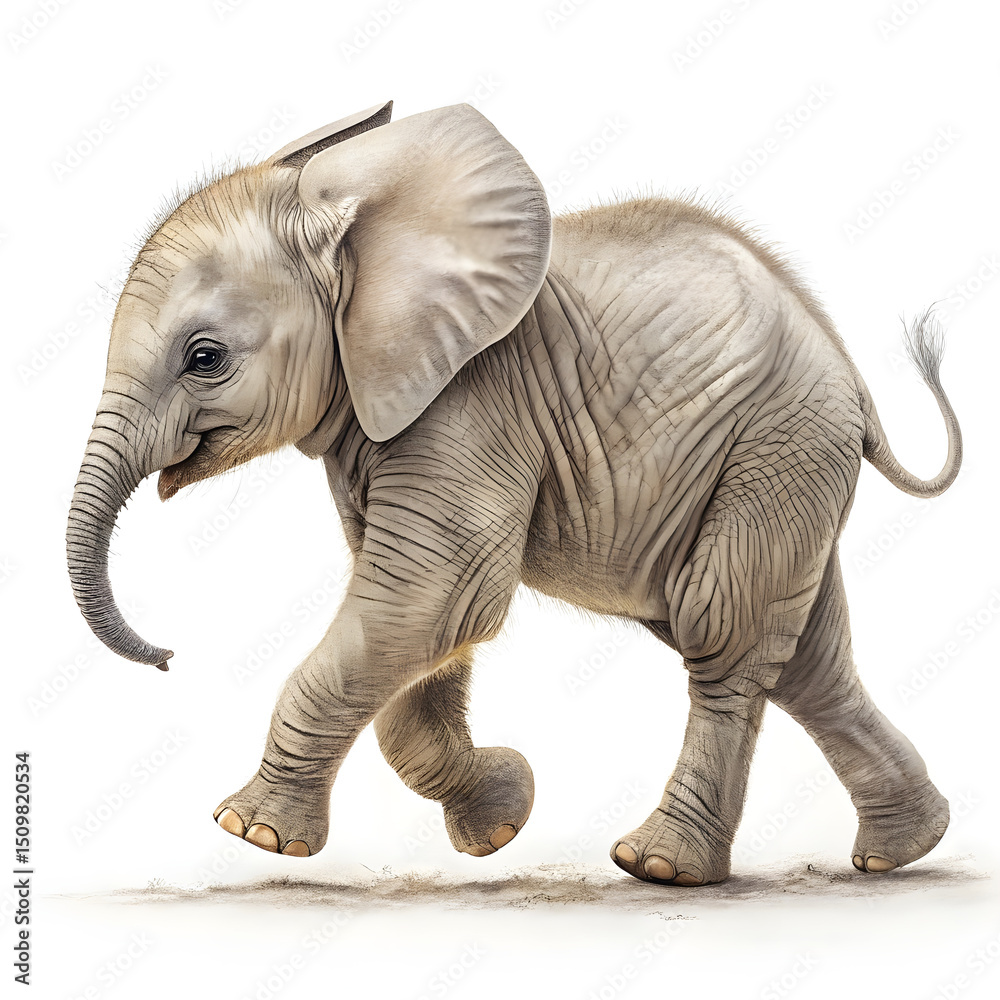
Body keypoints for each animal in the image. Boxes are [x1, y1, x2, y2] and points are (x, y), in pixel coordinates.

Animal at [67, 100, 961, 886]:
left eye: (205, 358)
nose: (169, 656)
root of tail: (850, 373)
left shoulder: (471, 401)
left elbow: (436, 592)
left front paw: (250, 832)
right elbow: (421, 622)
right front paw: (502, 818)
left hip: (775, 445)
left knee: (724, 634)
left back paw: (659, 867)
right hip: (784, 461)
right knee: (806, 659)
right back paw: (903, 850)